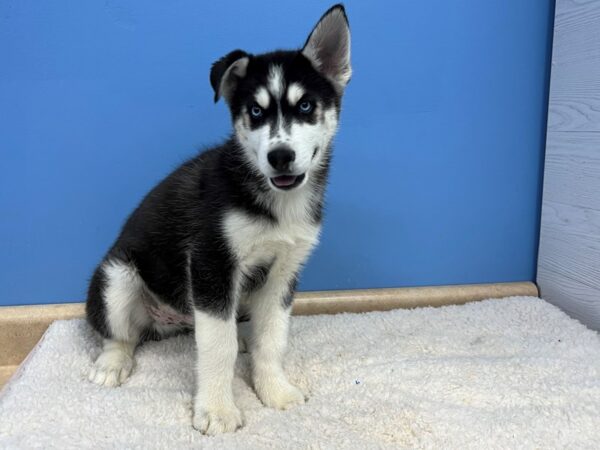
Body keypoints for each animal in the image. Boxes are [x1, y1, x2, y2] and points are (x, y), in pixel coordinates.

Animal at [86, 2, 354, 432]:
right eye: (256, 112)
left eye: (306, 106)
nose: (280, 156)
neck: (275, 203)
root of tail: (169, 319)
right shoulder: (211, 263)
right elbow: (217, 347)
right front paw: (215, 409)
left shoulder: (283, 273)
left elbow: (272, 340)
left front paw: (274, 390)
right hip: (118, 276)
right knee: (121, 334)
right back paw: (112, 364)